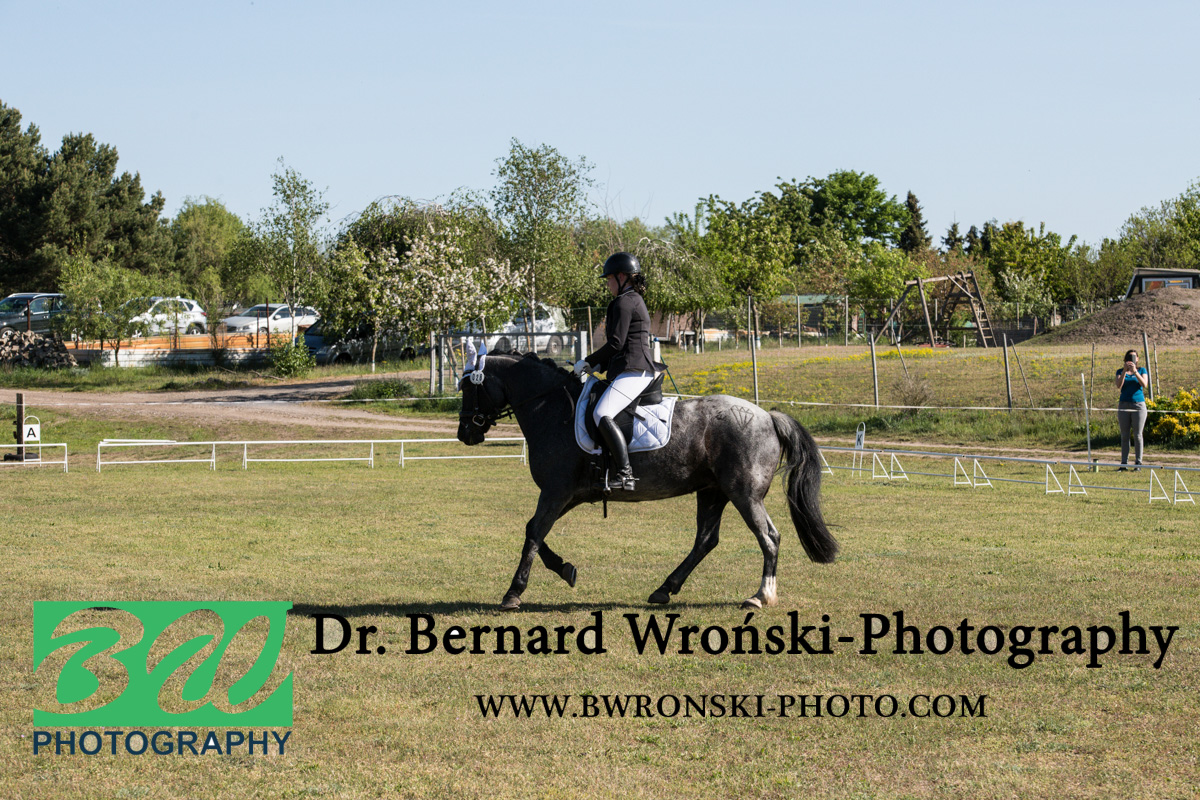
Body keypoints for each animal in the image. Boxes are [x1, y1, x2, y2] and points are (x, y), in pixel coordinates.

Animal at [456, 351, 838, 610]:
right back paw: (664, 589)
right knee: (706, 540)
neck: (552, 409)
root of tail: (767, 416)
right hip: (712, 492)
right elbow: (533, 531)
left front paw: (513, 593)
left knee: (768, 537)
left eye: (468, 388)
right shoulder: (568, 494)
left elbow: (534, 533)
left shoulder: (555, 492)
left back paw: (761, 596)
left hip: (744, 494)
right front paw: (566, 570)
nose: (464, 435)